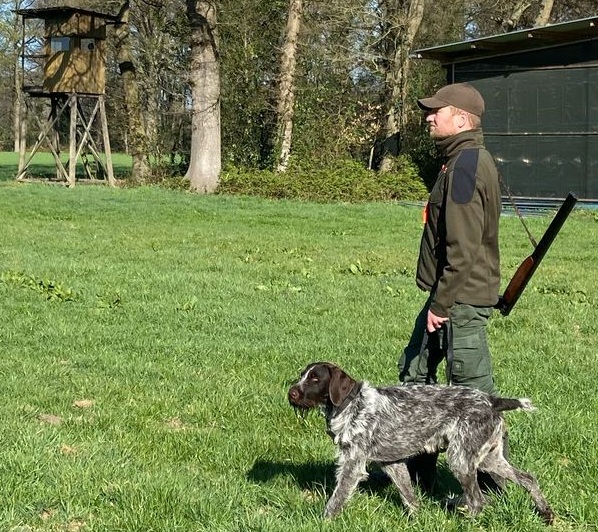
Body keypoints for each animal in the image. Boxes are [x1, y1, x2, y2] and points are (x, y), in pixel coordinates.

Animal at [287, 361, 554, 523]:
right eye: (301, 375)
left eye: (315, 379)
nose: (291, 393)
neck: (351, 405)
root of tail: (491, 400)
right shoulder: (392, 464)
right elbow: (409, 496)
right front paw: (418, 518)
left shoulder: (353, 464)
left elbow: (337, 498)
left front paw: (324, 521)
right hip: (489, 459)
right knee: (528, 478)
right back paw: (546, 513)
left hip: (461, 459)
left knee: (478, 500)